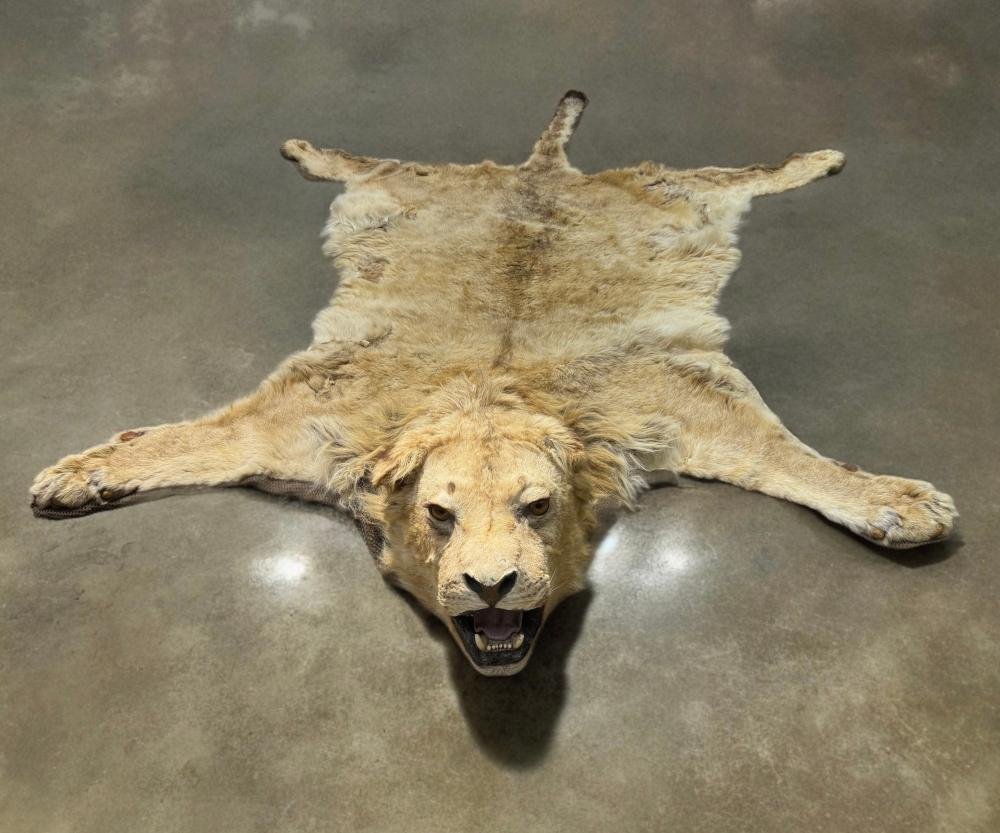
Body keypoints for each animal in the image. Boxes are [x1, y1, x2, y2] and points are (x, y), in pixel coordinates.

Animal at [30, 91, 957, 676]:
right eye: (440, 515)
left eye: (536, 507)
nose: (491, 586)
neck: (488, 393)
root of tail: (540, 171)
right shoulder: (292, 424)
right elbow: (172, 442)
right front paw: (73, 476)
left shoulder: (684, 402)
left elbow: (794, 461)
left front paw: (899, 502)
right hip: (417, 183)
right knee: (362, 160)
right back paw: (301, 148)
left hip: (664, 189)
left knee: (740, 176)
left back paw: (821, 156)